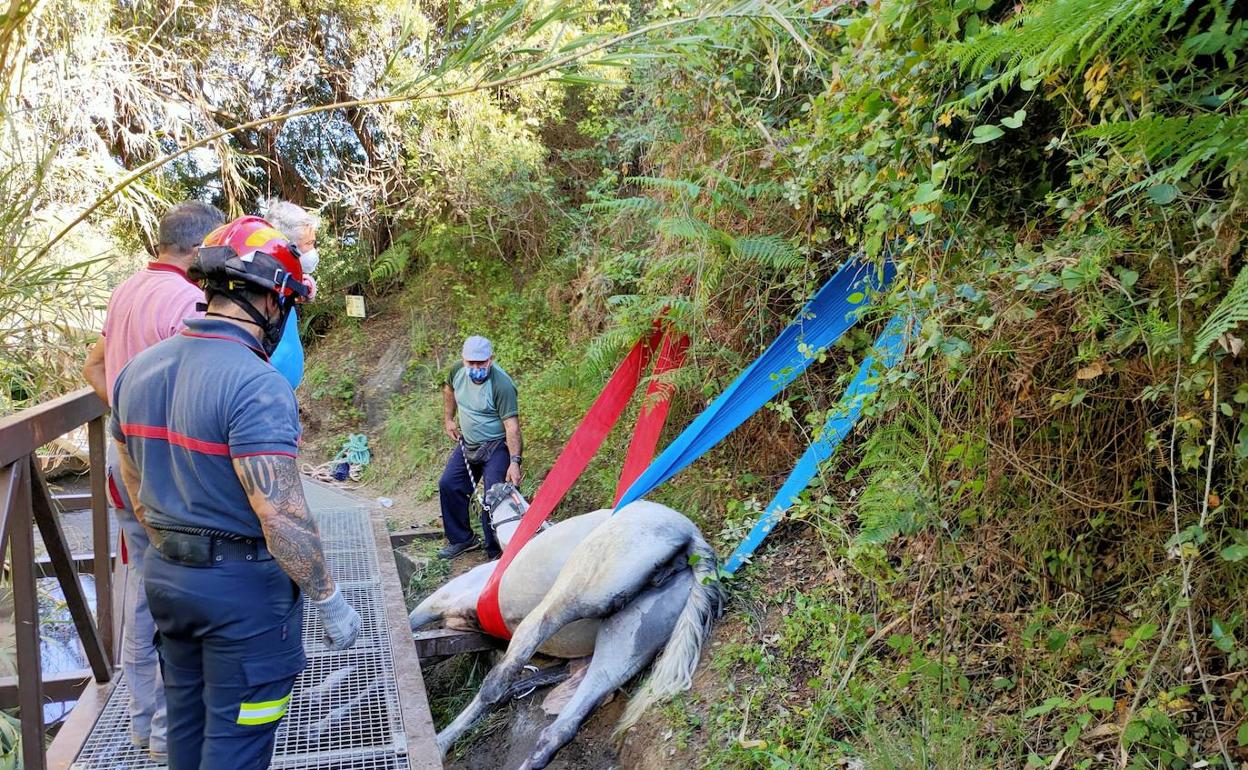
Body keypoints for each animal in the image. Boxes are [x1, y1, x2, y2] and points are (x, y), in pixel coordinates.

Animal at [411, 486, 723, 768]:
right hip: (629, 638)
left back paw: (444, 738)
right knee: (561, 727)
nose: (491, 489)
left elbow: (413, 630)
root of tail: (690, 535)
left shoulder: (439, 601)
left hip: (578, 589)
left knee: (501, 678)